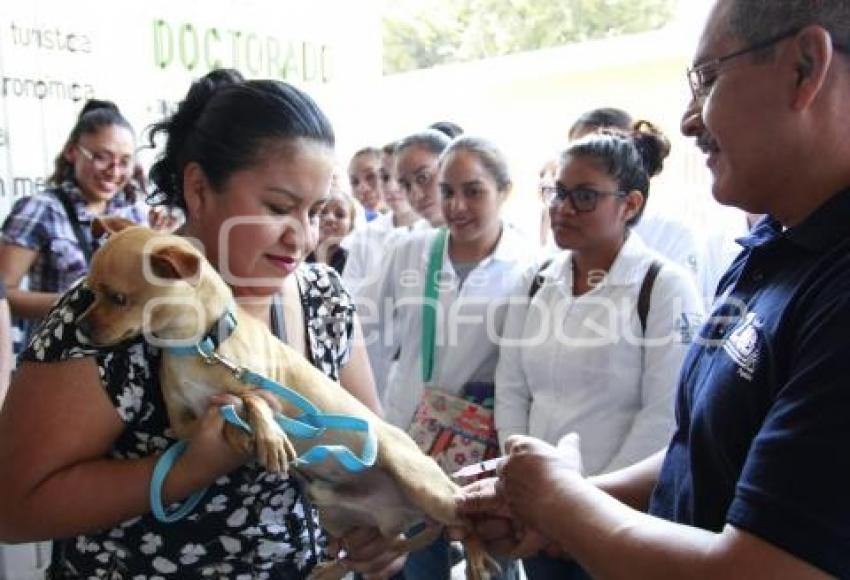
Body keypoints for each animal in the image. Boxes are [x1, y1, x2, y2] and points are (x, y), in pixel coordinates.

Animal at [78, 218, 494, 580]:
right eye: (89, 293)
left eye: (118, 298)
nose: (81, 327)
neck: (199, 345)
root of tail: (408, 510)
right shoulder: (182, 421)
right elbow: (221, 411)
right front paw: (239, 433)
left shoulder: (260, 384)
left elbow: (253, 401)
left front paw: (267, 435)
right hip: (337, 513)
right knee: (382, 545)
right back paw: (329, 570)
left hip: (424, 486)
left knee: (466, 521)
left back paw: (476, 558)